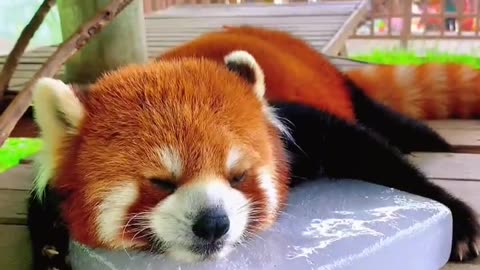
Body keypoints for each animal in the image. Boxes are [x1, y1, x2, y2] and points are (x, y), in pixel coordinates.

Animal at [28, 24, 478, 268]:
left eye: (238, 176)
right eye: (161, 182)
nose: (213, 224)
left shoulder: (297, 126)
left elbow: (364, 149)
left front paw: (457, 220)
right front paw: (50, 250)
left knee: (384, 119)